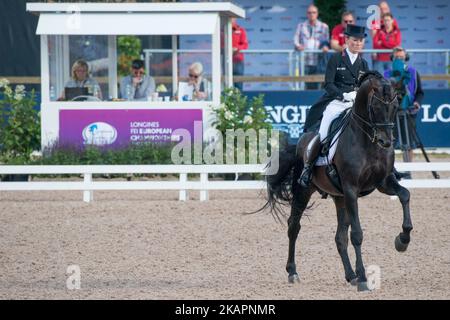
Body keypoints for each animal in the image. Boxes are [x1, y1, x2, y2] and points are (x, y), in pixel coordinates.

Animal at [266, 71, 414, 292]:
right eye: (376, 107)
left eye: (395, 107)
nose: (386, 142)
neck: (366, 140)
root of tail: (301, 142)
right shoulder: (351, 189)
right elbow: (357, 234)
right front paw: (363, 278)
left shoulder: (383, 183)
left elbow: (405, 195)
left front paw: (402, 240)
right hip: (304, 191)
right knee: (294, 226)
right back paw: (293, 272)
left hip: (340, 198)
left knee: (339, 237)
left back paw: (350, 275)